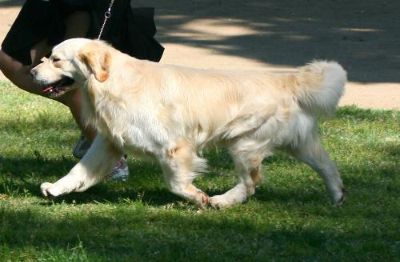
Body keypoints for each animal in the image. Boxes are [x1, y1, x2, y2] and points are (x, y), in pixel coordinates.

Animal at [30, 37, 346, 208]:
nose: (32, 72)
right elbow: (78, 171)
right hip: (297, 142)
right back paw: (338, 196)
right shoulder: (108, 144)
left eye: (56, 60)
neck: (112, 82)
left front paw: (199, 198)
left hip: (244, 144)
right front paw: (55, 188)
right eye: (48, 57)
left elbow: (177, 183)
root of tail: (287, 80)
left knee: (251, 182)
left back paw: (221, 200)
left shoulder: (173, 148)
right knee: (328, 166)